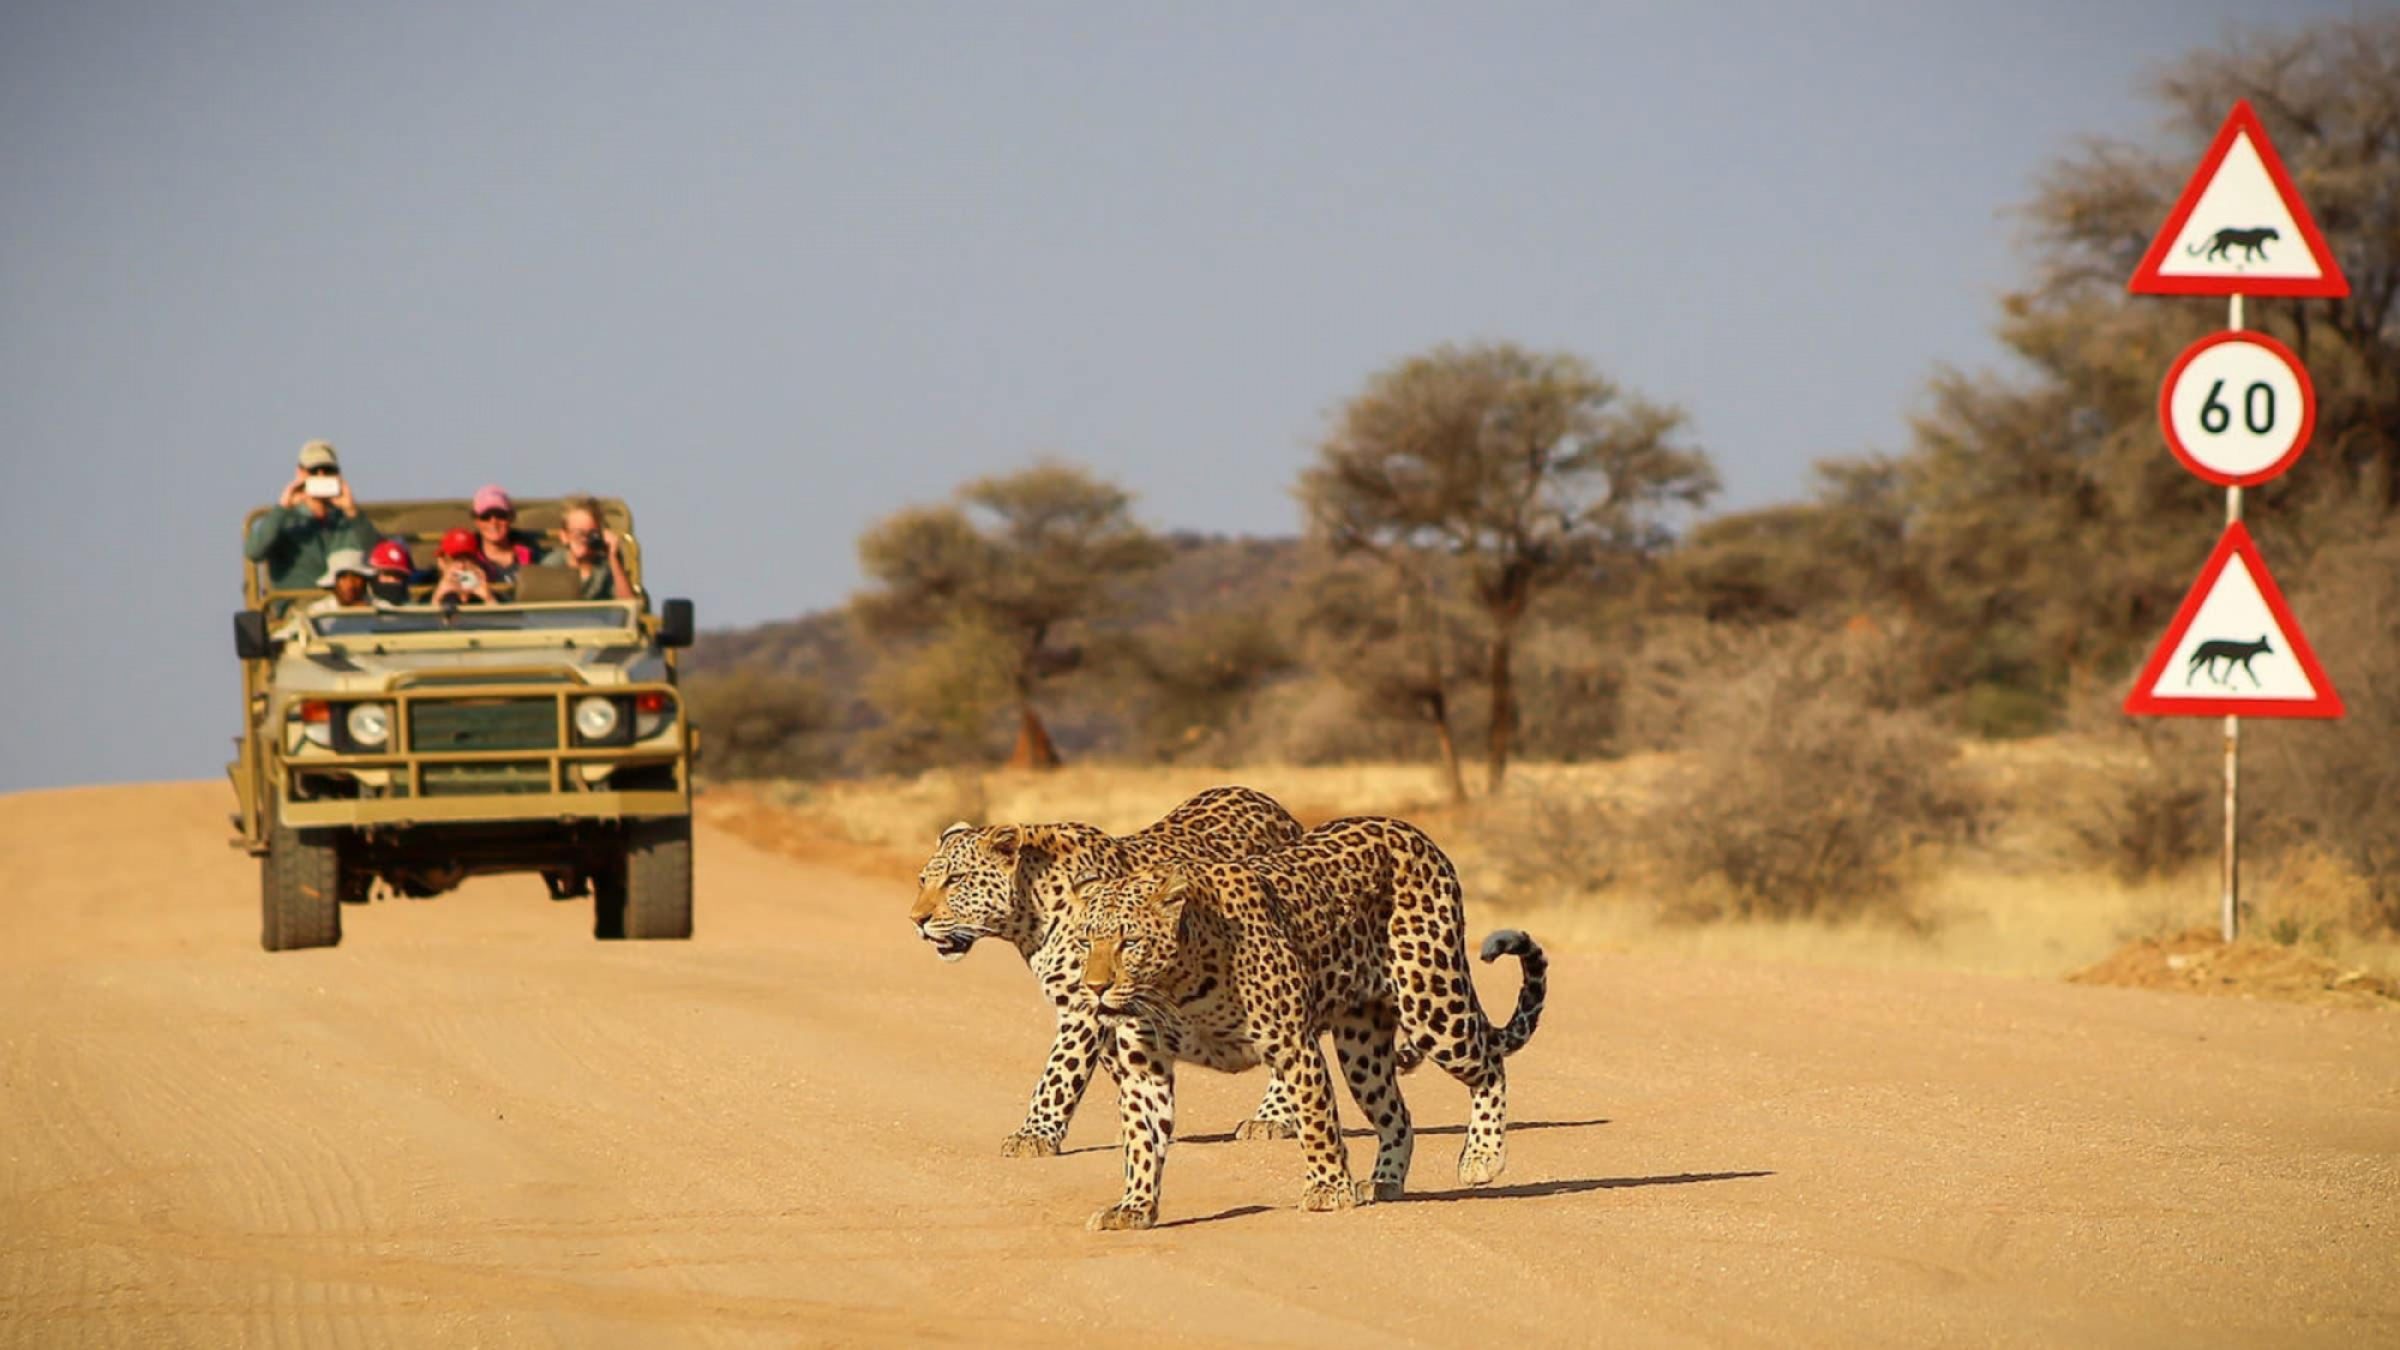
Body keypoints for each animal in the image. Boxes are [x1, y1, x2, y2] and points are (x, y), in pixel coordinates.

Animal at [902, 787, 1315, 1157]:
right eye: (923, 880)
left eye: (956, 880)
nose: (916, 920)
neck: (1028, 915)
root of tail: (1271, 804)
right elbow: (1118, 1066)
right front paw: (1138, 1125)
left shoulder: (1082, 1004)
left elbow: (1060, 1071)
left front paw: (1033, 1135)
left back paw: (1273, 1117)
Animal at [1065, 807, 1545, 1229]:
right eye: (1086, 941)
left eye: (1130, 942)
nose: (1095, 987)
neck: (1175, 988)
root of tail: (1413, 832)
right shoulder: (1143, 1069)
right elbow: (1141, 1140)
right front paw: (1134, 1207)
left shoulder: (1293, 1045)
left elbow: (1316, 1120)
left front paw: (1328, 1189)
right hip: (1362, 1048)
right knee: (1397, 1114)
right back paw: (1384, 1181)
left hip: (1432, 1002)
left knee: (1489, 1065)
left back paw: (1482, 1156)